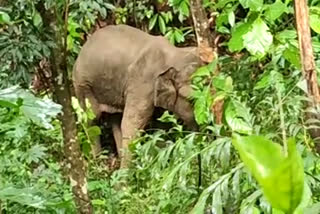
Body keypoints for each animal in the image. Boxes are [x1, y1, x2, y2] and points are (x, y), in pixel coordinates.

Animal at [74, 23, 201, 167]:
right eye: (192, 99)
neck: (174, 54)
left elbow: (160, 124)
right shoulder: (142, 83)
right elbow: (131, 124)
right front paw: (126, 173)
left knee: (116, 119)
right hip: (82, 84)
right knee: (92, 119)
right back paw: (96, 164)